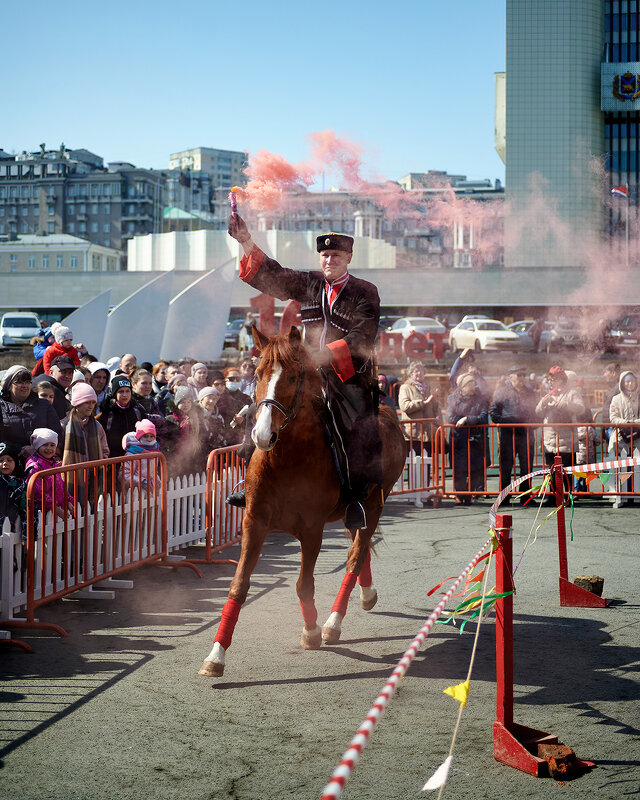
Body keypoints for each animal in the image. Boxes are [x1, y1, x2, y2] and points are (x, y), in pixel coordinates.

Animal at [200, 324, 402, 676]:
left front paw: (311, 631)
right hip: (353, 513)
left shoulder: (312, 531)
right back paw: (366, 595)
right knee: (359, 551)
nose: (261, 435)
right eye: (258, 373)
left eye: (294, 376)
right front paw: (216, 655)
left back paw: (333, 623)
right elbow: (238, 585)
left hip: (375, 504)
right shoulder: (254, 522)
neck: (287, 458)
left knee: (355, 556)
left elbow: (304, 584)